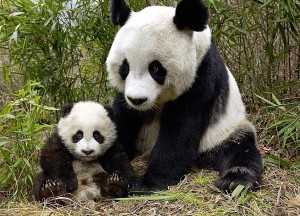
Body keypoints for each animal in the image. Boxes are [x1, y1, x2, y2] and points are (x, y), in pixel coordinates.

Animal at [106, 0, 262, 192]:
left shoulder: (201, 76)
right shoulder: (125, 95)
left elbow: (180, 129)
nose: (137, 100)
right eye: (125, 67)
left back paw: (235, 180)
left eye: (155, 68)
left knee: (240, 149)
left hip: (224, 132)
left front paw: (150, 183)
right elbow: (123, 118)